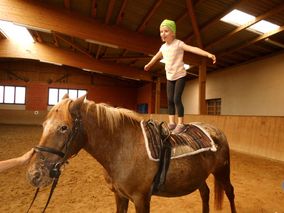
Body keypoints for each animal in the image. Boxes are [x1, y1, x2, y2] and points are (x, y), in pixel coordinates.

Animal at [26, 95, 236, 212]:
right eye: (44, 125)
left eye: (63, 127)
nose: (34, 174)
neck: (122, 149)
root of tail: (216, 130)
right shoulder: (120, 196)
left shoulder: (141, 199)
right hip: (199, 176)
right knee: (205, 193)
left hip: (222, 172)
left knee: (230, 192)